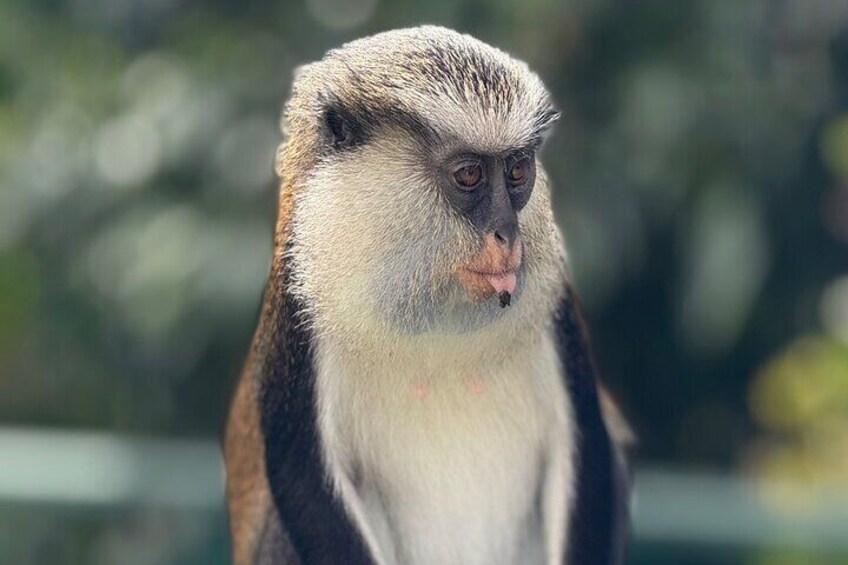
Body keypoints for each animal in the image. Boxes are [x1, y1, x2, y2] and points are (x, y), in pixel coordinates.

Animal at [224, 25, 630, 565]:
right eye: (469, 176)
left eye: (517, 171)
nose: (507, 235)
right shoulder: (297, 307)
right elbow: (303, 479)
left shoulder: (553, 301)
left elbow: (585, 448)